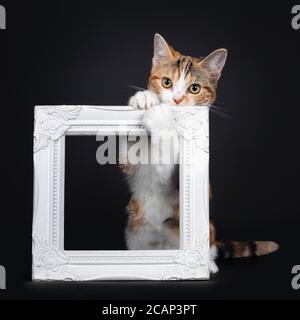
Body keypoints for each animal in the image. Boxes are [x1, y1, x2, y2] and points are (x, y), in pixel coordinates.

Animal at [120, 33, 280, 272]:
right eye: (166, 82)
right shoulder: (131, 164)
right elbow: (127, 156)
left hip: (200, 228)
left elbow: (167, 167)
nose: (177, 100)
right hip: (135, 230)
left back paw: (207, 265)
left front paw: (159, 120)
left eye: (194, 88)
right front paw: (144, 98)